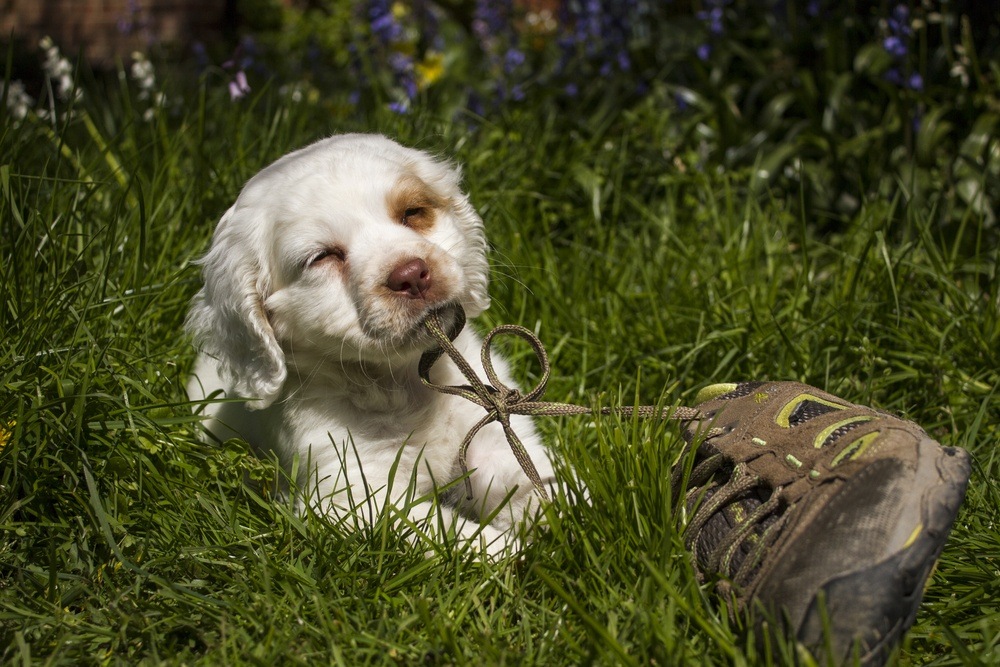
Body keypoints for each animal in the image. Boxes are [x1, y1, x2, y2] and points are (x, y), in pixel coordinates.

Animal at [188, 133, 556, 556]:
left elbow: (538, 485)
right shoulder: (354, 496)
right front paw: (522, 558)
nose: (411, 274)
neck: (408, 380)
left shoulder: (492, 436)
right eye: (322, 257)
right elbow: (460, 537)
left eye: (413, 212)